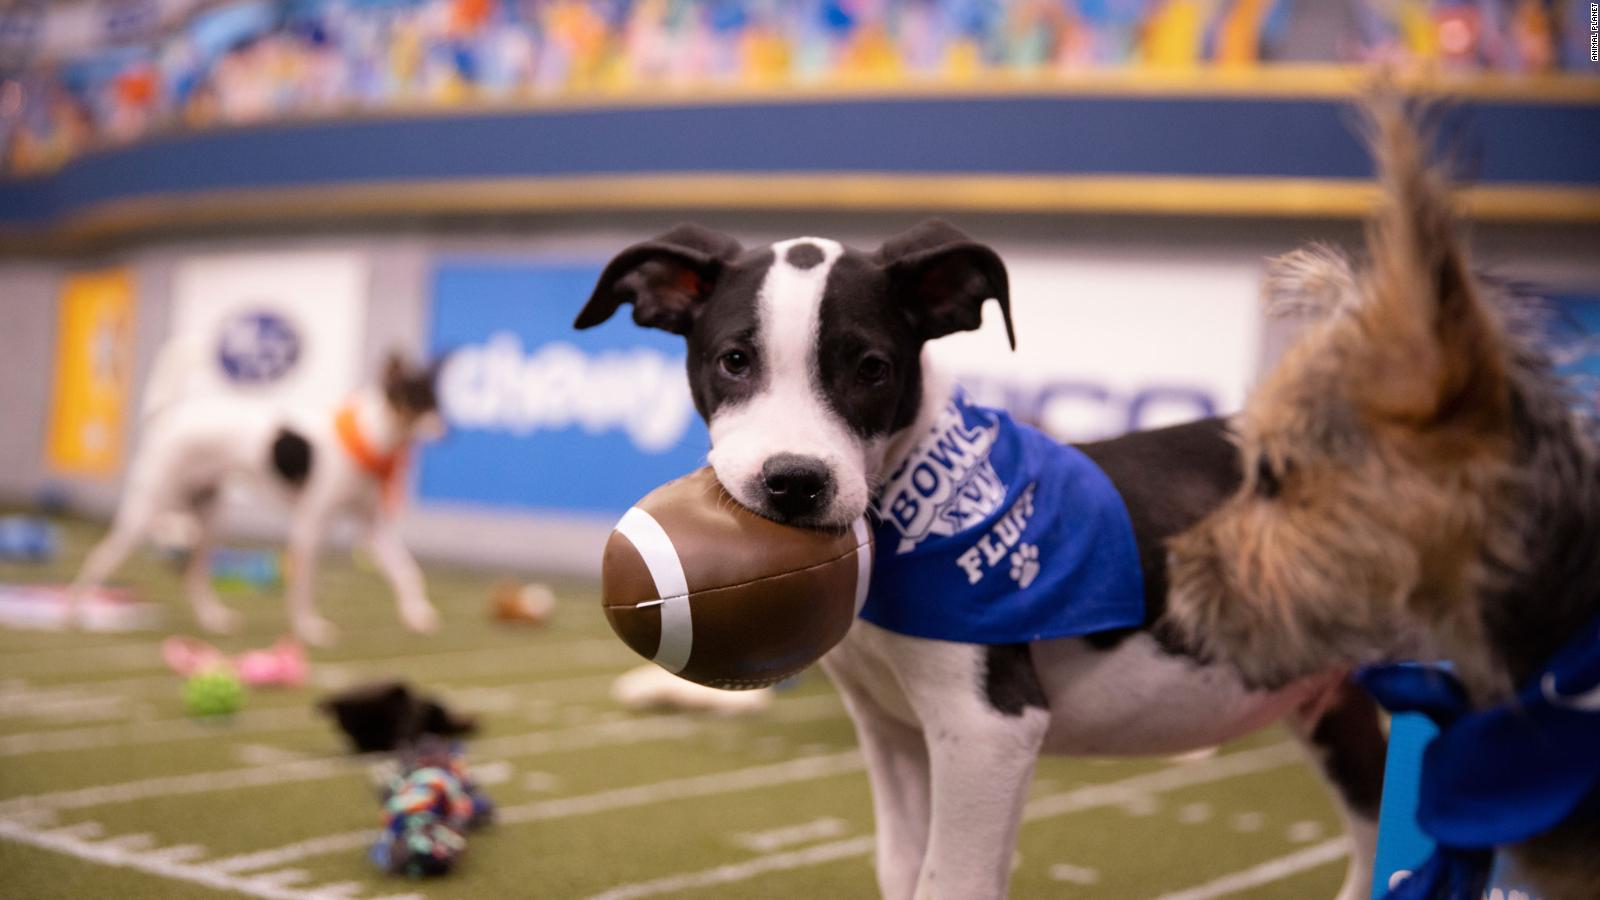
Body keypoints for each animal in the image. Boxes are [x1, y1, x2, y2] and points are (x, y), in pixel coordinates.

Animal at [70, 344, 444, 643]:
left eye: (436, 402)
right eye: (417, 400)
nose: (444, 429)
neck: (368, 441)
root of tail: (166, 419)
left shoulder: (375, 529)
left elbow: (407, 572)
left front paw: (417, 613)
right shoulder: (310, 524)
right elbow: (304, 586)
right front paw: (308, 628)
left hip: (210, 520)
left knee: (193, 577)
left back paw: (214, 619)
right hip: (147, 511)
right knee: (101, 557)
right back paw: (79, 610)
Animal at [579, 222, 1388, 896]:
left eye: (872, 368)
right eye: (734, 361)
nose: (796, 482)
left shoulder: (988, 729)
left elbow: (951, 884)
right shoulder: (893, 729)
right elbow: (902, 867)